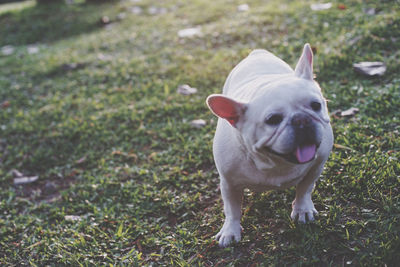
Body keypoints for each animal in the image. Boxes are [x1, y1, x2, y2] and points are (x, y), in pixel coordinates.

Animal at [206, 43, 334, 247]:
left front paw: (302, 209)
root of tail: (257, 53)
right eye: (273, 119)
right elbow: (232, 208)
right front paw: (230, 230)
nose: (301, 119)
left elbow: (305, 188)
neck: (275, 163)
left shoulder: (316, 165)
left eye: (316, 105)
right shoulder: (229, 183)